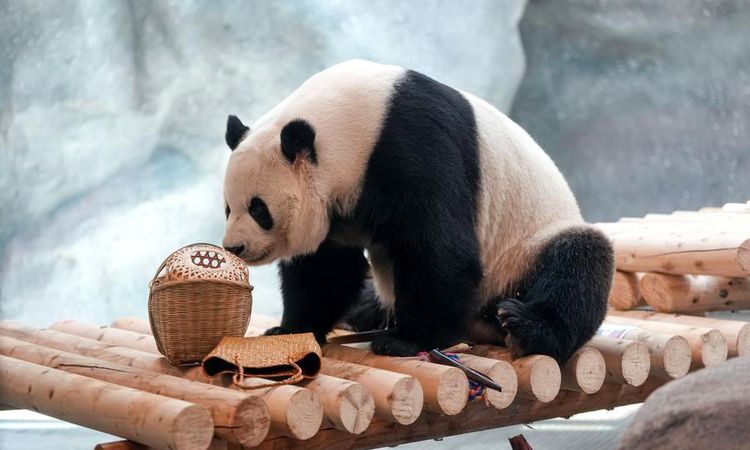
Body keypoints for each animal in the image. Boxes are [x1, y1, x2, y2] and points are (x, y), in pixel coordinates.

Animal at [222, 59, 614, 363]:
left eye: (258, 209)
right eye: (228, 207)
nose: (235, 247)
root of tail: (481, 322)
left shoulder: (413, 146)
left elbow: (438, 248)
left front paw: (407, 340)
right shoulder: (340, 207)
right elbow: (326, 268)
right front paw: (288, 329)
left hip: (523, 250)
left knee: (578, 260)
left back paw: (524, 325)